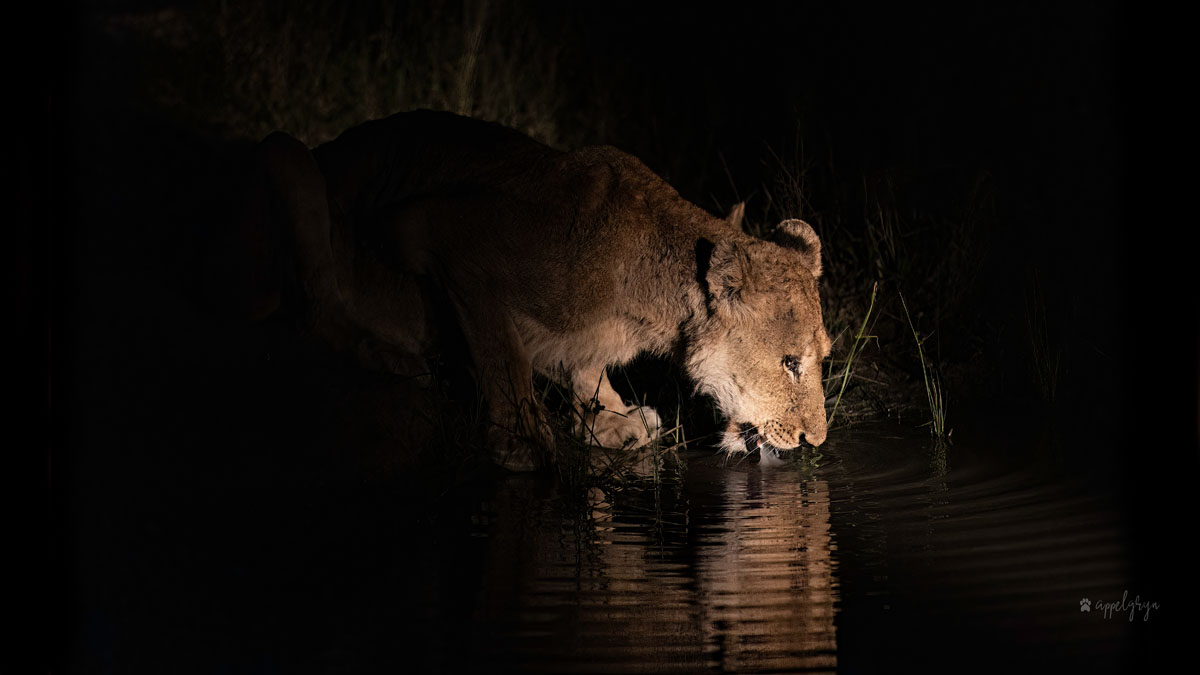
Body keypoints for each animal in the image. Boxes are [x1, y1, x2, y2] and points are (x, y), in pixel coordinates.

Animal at [239, 110, 830, 470]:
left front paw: (611, 421)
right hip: (285, 155)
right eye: (789, 363)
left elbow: (584, 370)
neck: (648, 302)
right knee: (316, 309)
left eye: (821, 357)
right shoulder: (440, 229)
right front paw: (523, 441)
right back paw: (388, 355)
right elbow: (505, 354)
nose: (815, 443)